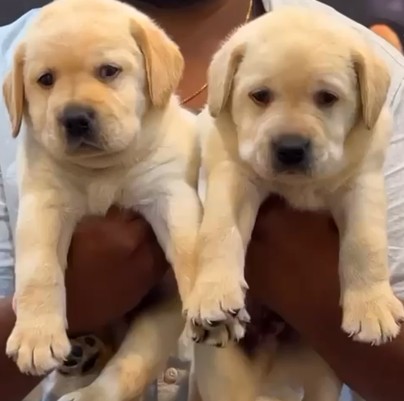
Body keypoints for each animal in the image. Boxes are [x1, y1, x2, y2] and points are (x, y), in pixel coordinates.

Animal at [2, 0, 199, 390]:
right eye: (45, 80)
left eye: (109, 71)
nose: (75, 118)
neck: (101, 170)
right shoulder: (44, 203)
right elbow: (38, 270)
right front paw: (36, 335)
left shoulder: (168, 191)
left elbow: (189, 248)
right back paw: (82, 350)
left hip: (156, 322)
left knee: (127, 371)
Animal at [186, 5, 404, 350]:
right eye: (260, 96)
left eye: (327, 97)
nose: (290, 149)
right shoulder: (234, 172)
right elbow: (218, 231)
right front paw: (214, 292)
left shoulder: (362, 181)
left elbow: (365, 242)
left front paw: (371, 306)